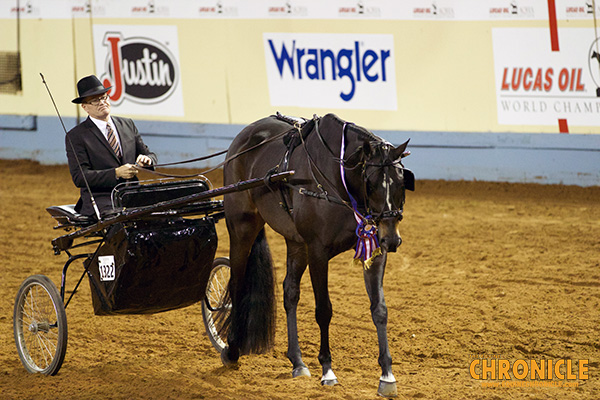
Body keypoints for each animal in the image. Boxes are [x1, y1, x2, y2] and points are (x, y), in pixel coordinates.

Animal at [219, 111, 412, 396]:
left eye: (401, 182)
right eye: (371, 183)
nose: (393, 239)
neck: (339, 182)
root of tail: (245, 135)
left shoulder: (373, 249)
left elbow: (380, 309)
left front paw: (387, 375)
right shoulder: (318, 252)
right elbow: (324, 310)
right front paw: (328, 370)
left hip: (296, 242)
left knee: (290, 292)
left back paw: (297, 362)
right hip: (242, 227)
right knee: (237, 284)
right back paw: (232, 349)